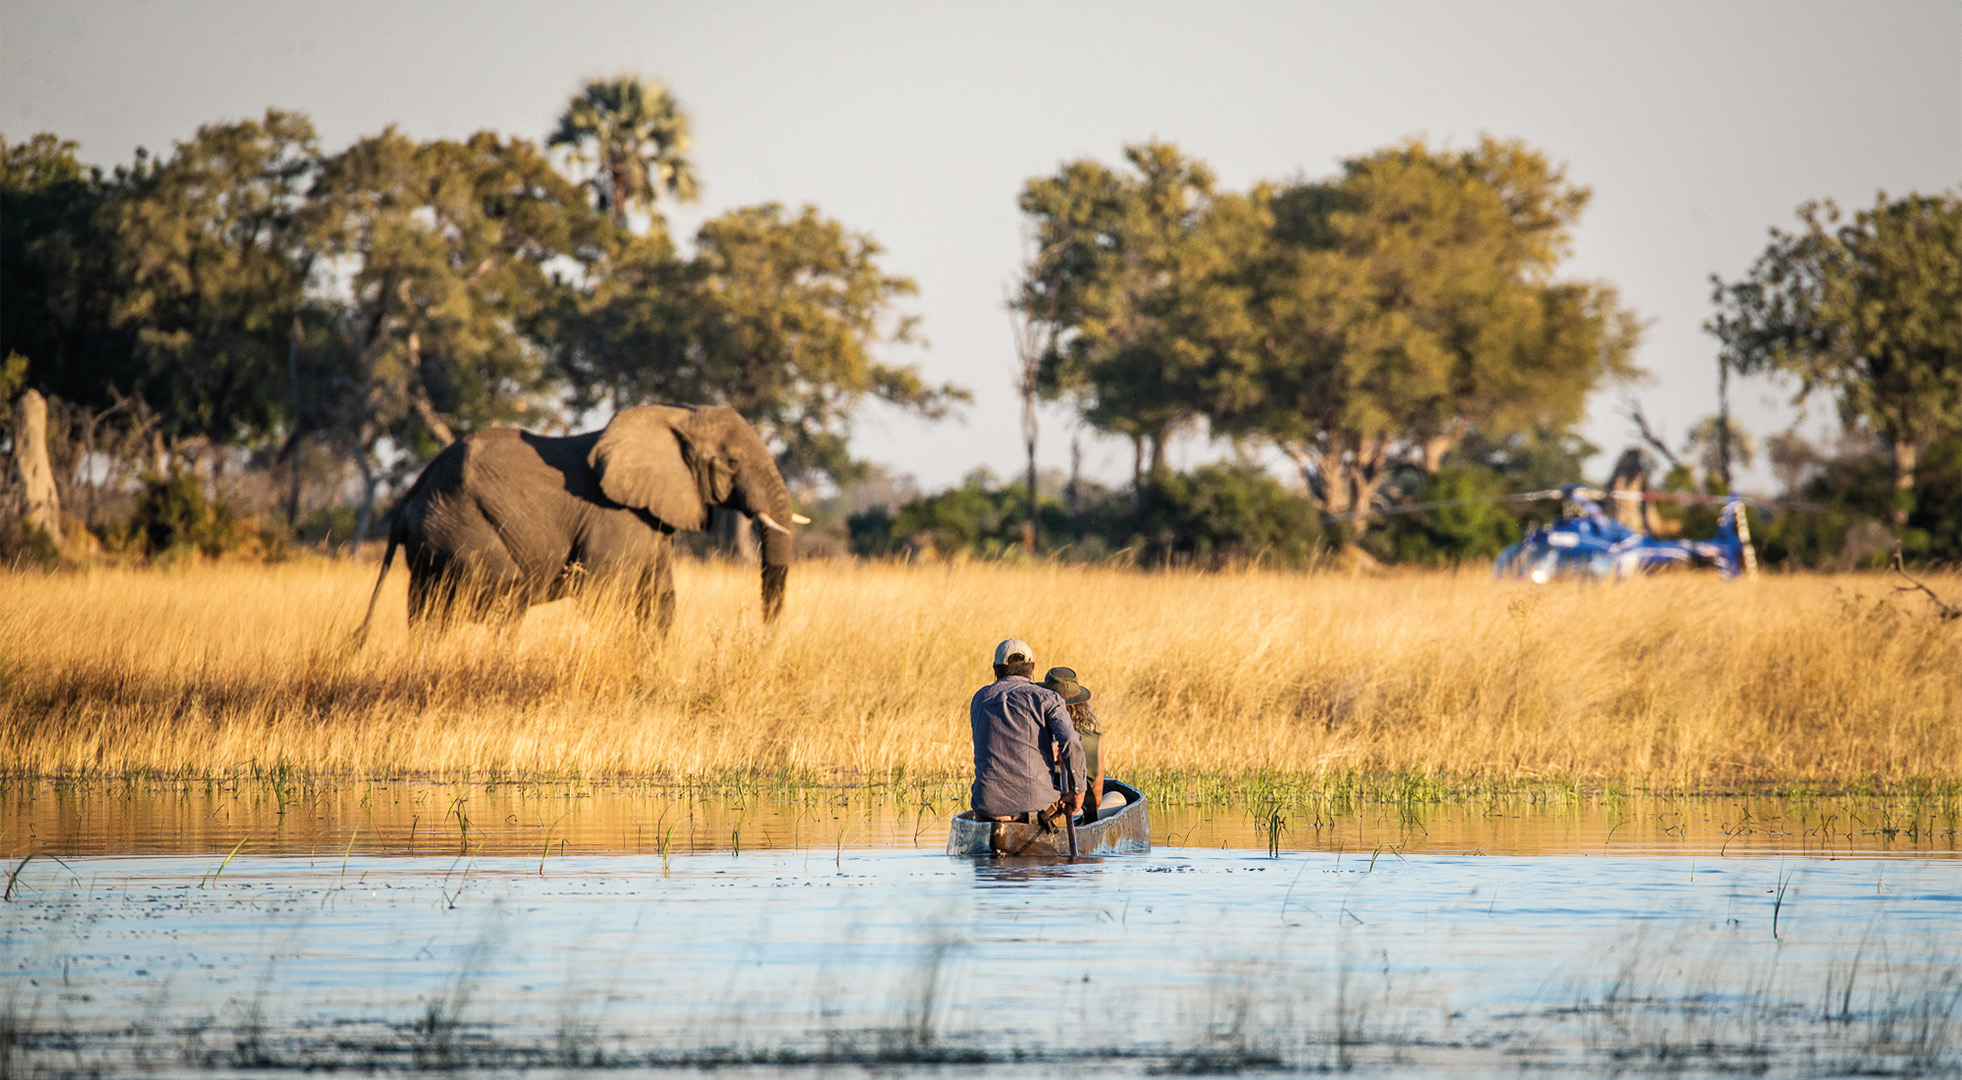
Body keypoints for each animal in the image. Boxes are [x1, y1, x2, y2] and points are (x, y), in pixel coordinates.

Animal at [361, 406, 796, 644]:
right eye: (732, 463)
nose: (764, 642)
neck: (674, 418)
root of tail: (407, 500)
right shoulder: (614, 517)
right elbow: (604, 597)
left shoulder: (652, 519)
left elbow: (660, 602)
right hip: (461, 528)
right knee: (504, 598)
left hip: (434, 542)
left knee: (429, 613)